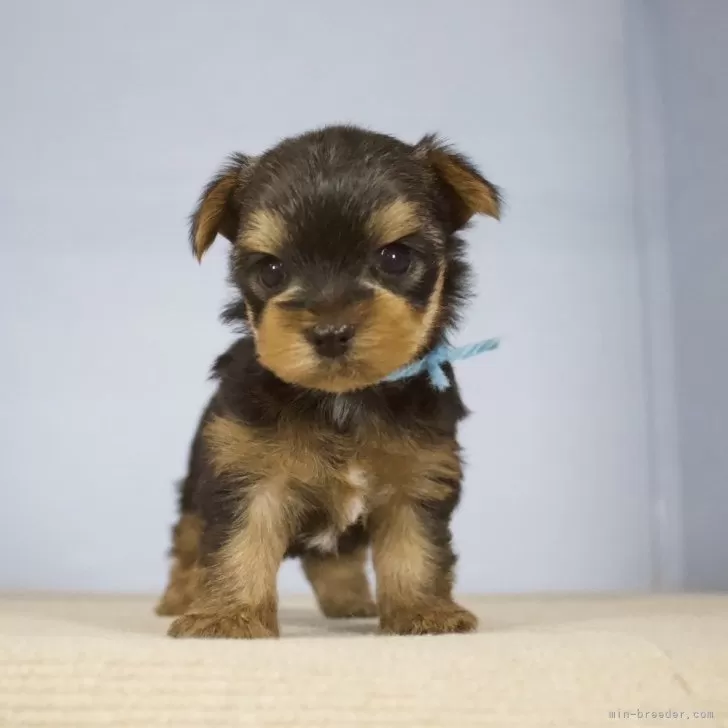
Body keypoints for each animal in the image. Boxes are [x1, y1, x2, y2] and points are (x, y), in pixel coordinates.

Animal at [156, 125, 500, 636]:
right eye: (272, 270)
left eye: (395, 258)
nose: (331, 332)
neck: (342, 400)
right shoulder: (247, 474)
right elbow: (239, 544)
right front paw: (227, 616)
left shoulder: (417, 475)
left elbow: (415, 549)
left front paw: (422, 611)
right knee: (188, 538)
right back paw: (178, 598)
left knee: (334, 556)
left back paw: (349, 600)